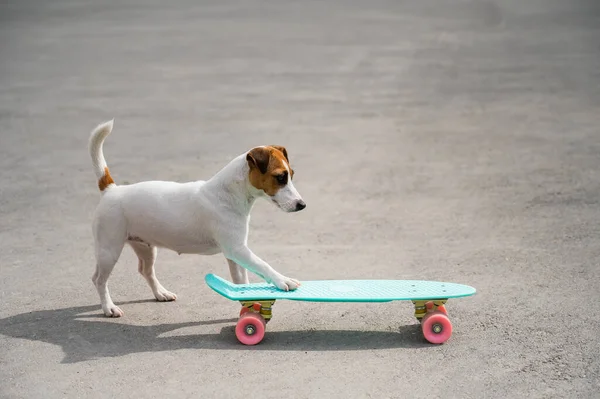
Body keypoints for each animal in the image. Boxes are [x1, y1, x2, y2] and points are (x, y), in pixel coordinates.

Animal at [88, 120, 304, 318]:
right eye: (280, 177)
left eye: (291, 174)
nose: (302, 205)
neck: (226, 194)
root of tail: (111, 190)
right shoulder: (237, 250)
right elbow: (262, 264)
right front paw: (283, 280)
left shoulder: (235, 254)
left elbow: (242, 282)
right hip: (109, 250)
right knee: (99, 279)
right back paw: (109, 307)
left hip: (146, 248)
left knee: (145, 271)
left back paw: (161, 293)